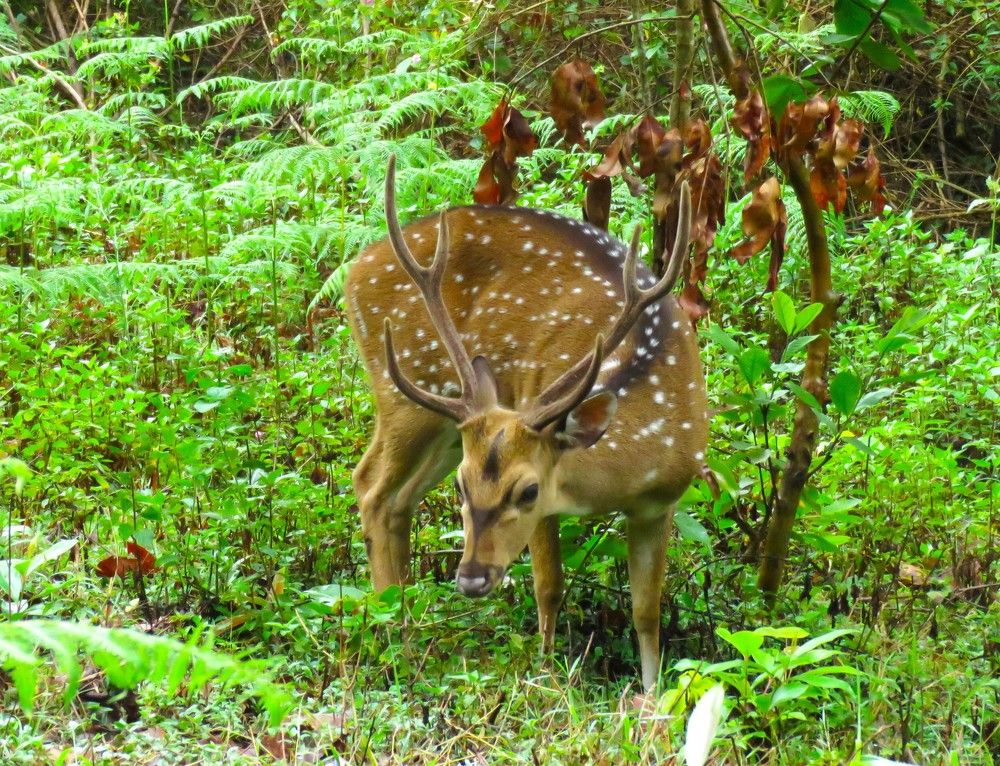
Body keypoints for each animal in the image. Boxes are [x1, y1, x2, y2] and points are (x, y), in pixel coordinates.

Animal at [345, 156, 708, 689]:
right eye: (462, 488)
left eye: (528, 490)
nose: (471, 578)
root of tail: (354, 270)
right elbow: (549, 587)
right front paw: (547, 676)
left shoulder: (660, 503)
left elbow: (647, 611)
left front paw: (652, 694)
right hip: (404, 393)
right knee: (369, 483)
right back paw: (394, 632)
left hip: (445, 423)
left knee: (395, 499)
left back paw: (407, 622)